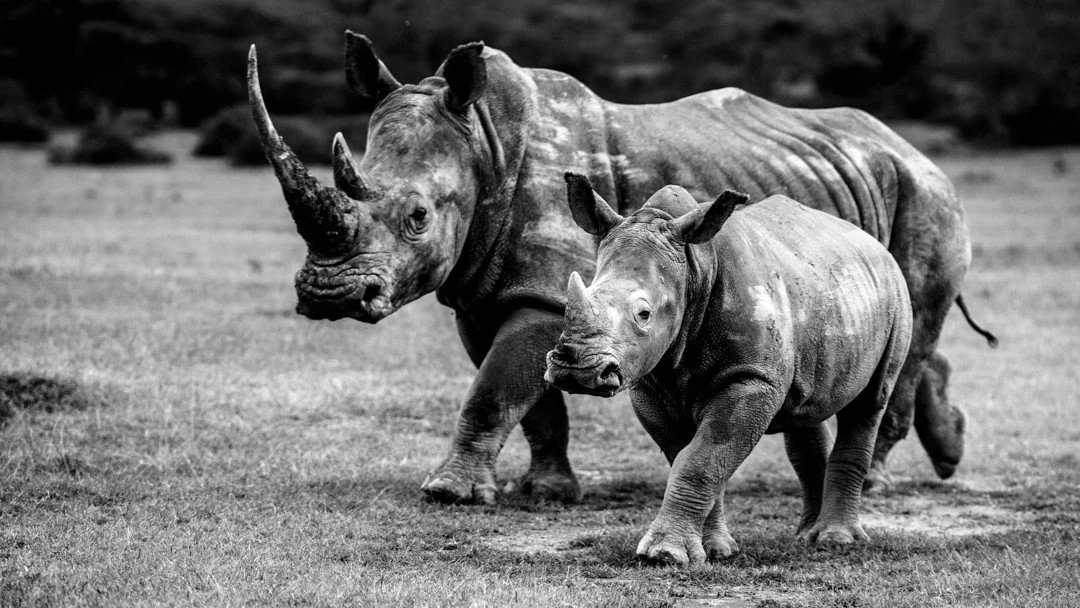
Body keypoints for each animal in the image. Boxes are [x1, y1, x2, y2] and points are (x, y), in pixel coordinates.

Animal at [245, 33, 996, 504]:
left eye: (419, 217)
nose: (327, 294)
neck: (485, 141)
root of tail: (908, 145)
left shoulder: (546, 292)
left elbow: (495, 389)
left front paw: (449, 493)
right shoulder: (483, 292)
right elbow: (531, 397)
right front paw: (546, 492)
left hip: (927, 196)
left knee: (913, 329)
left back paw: (876, 484)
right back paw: (948, 451)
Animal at [545, 176, 913, 565]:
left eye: (644, 314)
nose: (576, 369)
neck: (695, 269)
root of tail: (873, 243)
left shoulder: (751, 378)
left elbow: (702, 460)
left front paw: (664, 555)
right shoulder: (650, 384)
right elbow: (690, 457)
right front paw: (714, 550)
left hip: (896, 292)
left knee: (870, 403)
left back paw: (836, 540)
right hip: (827, 293)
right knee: (805, 410)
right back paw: (805, 537)